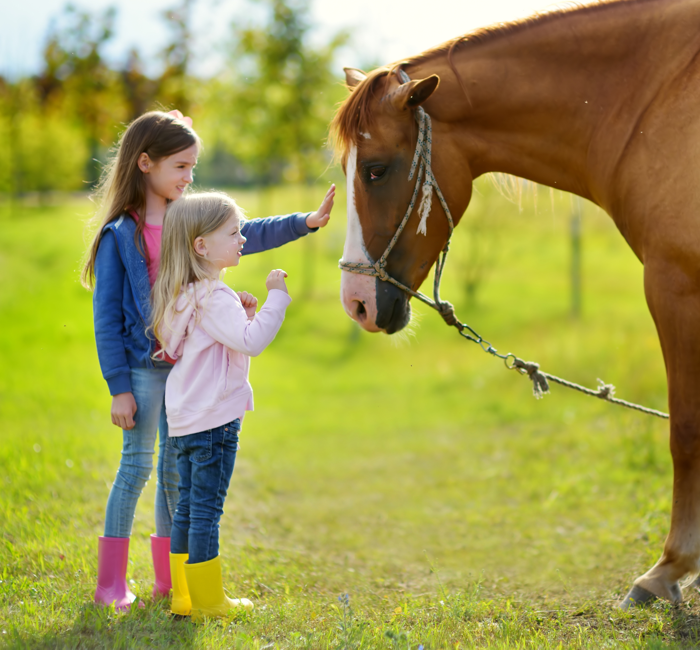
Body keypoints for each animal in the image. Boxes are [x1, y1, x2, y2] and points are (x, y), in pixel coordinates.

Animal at [330, 0, 700, 608]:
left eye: (375, 169)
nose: (356, 303)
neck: (652, 101)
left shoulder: (674, 284)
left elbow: (685, 428)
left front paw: (668, 568)